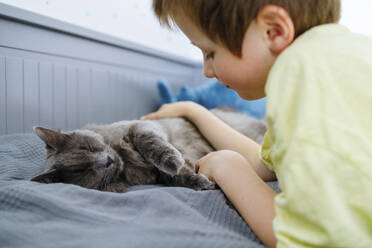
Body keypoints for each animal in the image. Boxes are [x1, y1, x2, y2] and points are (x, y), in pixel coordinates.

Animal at [30, 107, 266, 193]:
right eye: (82, 170)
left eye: (87, 147)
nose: (106, 161)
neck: (126, 164)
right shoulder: (157, 177)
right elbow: (176, 178)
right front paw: (202, 182)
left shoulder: (142, 127)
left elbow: (150, 143)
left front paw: (172, 161)